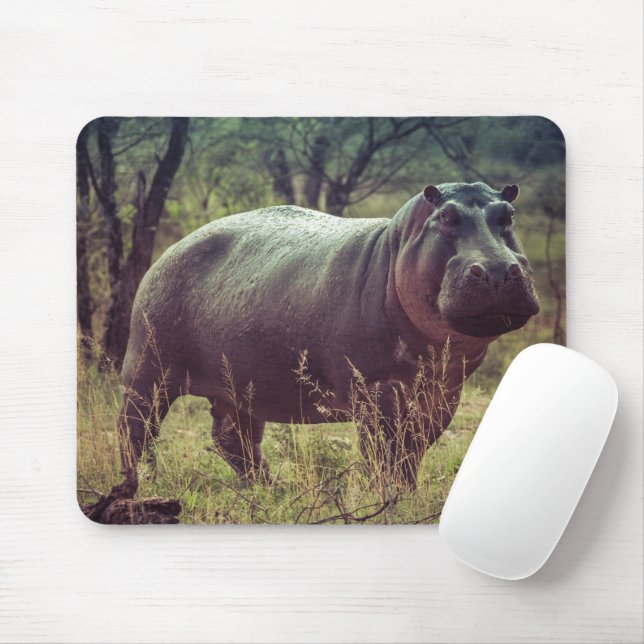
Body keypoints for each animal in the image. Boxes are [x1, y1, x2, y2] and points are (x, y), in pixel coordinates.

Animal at [117, 181, 539, 491]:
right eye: (446, 216)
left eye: (509, 215)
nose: (498, 269)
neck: (396, 246)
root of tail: (173, 247)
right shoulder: (377, 390)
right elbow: (382, 452)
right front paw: (384, 498)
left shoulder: (443, 391)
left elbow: (412, 451)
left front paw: (406, 494)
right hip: (148, 370)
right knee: (135, 429)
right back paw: (142, 486)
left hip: (240, 385)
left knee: (233, 438)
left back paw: (272, 488)